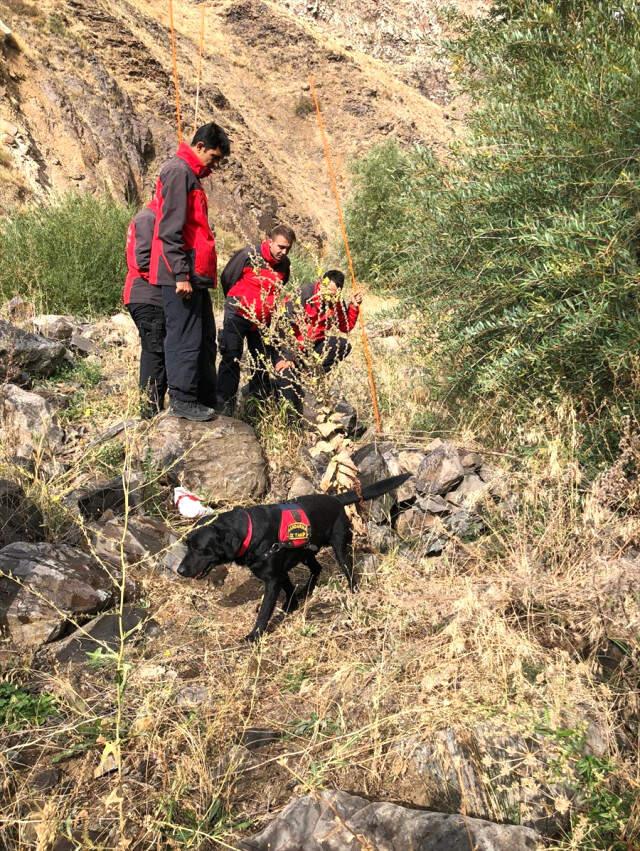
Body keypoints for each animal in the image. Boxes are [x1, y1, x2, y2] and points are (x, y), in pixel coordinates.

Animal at [178, 472, 408, 640]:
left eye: (199, 549)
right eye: (187, 545)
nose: (179, 570)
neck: (249, 532)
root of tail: (335, 499)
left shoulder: (272, 580)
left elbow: (264, 612)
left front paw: (254, 635)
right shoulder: (279, 572)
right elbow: (288, 588)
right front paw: (292, 604)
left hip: (339, 548)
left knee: (348, 571)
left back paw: (352, 591)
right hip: (306, 551)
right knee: (316, 568)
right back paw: (305, 591)